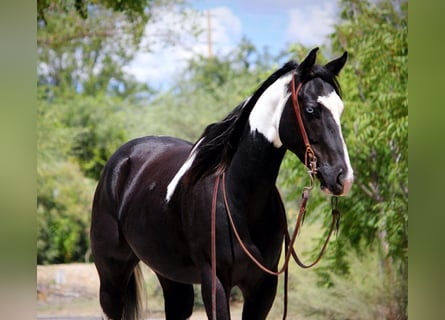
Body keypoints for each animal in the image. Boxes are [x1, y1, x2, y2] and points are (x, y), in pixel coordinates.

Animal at [91, 48, 354, 320]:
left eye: (340, 110)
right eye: (311, 110)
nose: (342, 177)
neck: (239, 197)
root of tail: (121, 160)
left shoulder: (263, 288)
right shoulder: (214, 282)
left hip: (170, 276)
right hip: (112, 275)